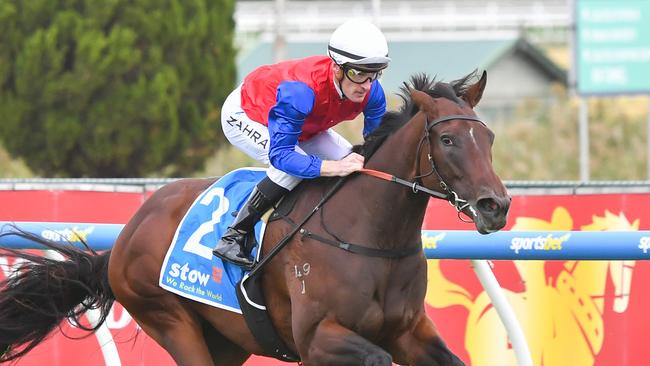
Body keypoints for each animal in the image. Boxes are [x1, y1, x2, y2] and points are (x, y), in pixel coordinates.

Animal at [0, 72, 506, 366]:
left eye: (489, 138)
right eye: (447, 141)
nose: (495, 206)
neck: (372, 233)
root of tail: (124, 236)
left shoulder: (408, 331)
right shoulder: (317, 337)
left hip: (228, 340)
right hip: (168, 318)